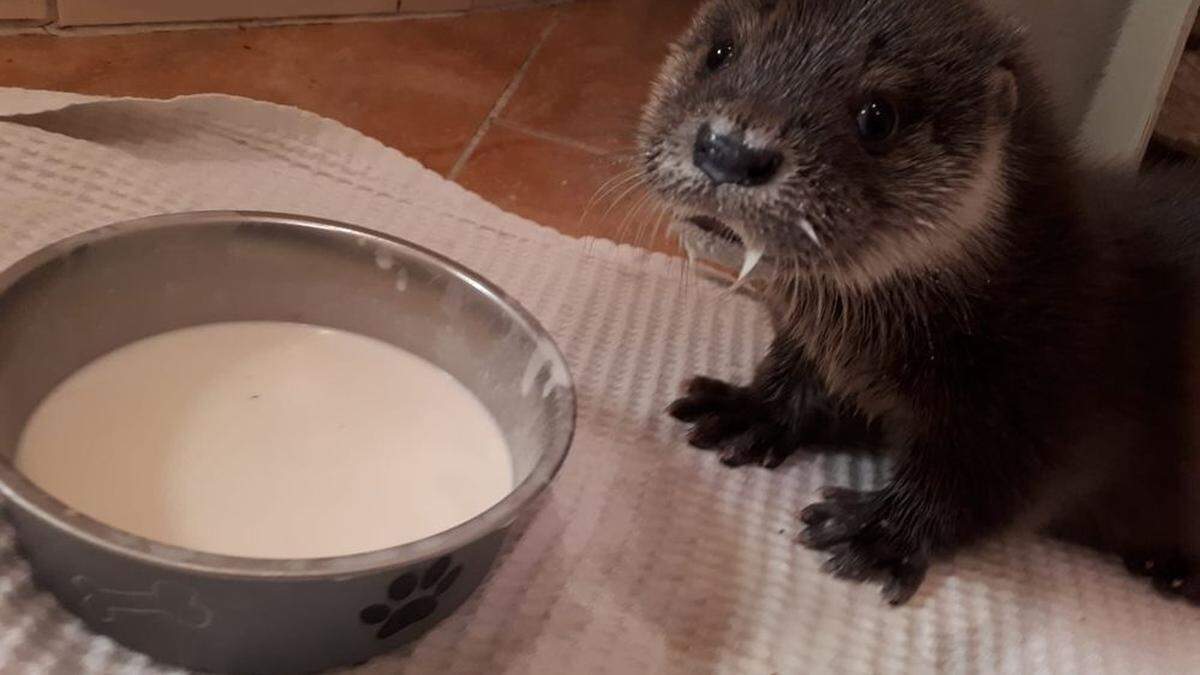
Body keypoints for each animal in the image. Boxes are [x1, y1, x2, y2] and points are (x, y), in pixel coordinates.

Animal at [643, 0, 1200, 605]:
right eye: (721, 52)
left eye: (877, 115)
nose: (730, 150)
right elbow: (799, 375)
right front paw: (750, 411)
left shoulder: (1056, 398)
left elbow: (983, 484)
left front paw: (878, 531)